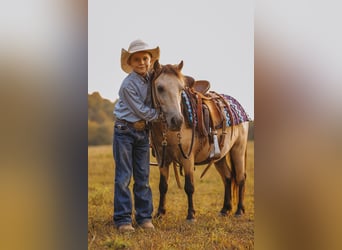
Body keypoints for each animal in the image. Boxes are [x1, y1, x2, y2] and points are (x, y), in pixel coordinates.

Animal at [150, 60, 251, 221]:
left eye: (181, 88)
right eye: (160, 88)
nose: (177, 121)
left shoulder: (187, 158)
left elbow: (189, 186)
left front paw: (191, 215)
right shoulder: (162, 159)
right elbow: (163, 186)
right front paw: (160, 212)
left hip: (238, 150)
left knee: (241, 178)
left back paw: (239, 211)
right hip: (220, 156)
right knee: (228, 177)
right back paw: (225, 209)